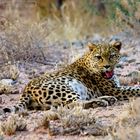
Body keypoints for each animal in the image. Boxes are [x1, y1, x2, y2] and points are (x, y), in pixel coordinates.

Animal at [2, 38, 140, 113]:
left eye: (111, 56)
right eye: (98, 57)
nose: (106, 66)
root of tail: (26, 89)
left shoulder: (116, 89)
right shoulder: (116, 90)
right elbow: (135, 89)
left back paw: (107, 99)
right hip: (63, 88)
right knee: (74, 104)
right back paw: (101, 102)